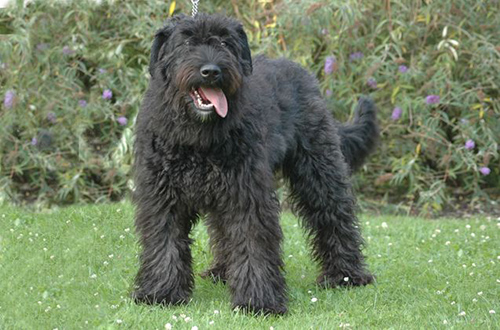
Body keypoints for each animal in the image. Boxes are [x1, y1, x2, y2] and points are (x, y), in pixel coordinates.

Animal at [132, 14, 376, 316]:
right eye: (187, 43)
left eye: (225, 43)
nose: (211, 71)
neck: (197, 138)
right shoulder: (162, 196)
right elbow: (164, 241)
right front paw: (161, 292)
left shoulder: (247, 194)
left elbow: (252, 241)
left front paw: (258, 300)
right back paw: (222, 271)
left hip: (319, 170)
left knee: (334, 215)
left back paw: (345, 274)